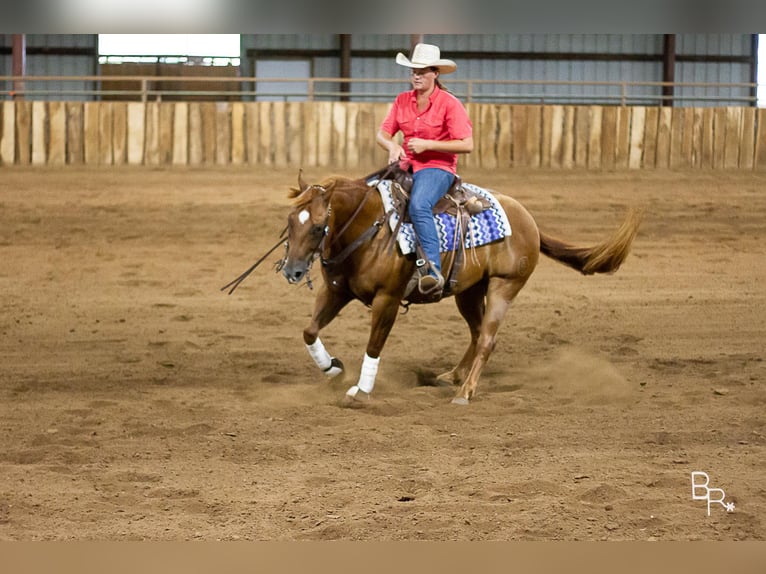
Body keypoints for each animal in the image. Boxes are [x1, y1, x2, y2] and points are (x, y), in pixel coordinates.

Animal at [282, 173, 640, 408]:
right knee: (477, 331)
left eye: (317, 227)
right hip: (468, 291)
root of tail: (530, 220)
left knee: (487, 339)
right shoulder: (336, 291)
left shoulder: (388, 300)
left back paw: (465, 392)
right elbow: (309, 331)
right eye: (290, 221)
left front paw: (361, 391)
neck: (371, 229)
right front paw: (332, 368)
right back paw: (453, 375)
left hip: (504, 286)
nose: (292, 270)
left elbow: (374, 345)